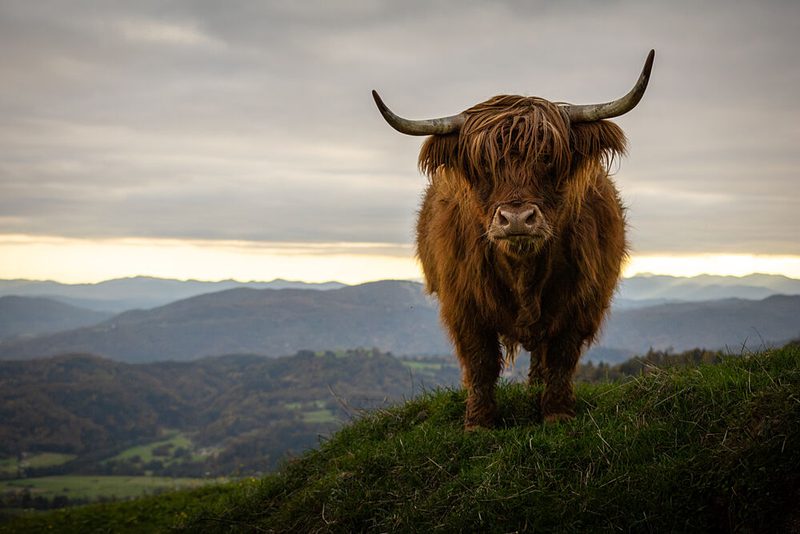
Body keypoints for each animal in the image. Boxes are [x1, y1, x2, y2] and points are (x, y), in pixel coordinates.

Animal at [373, 50, 654, 429]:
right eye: (483, 165)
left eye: (548, 157)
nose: (517, 218)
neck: (524, 273)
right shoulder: (463, 303)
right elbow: (480, 360)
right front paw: (479, 422)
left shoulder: (582, 300)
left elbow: (561, 356)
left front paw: (557, 413)